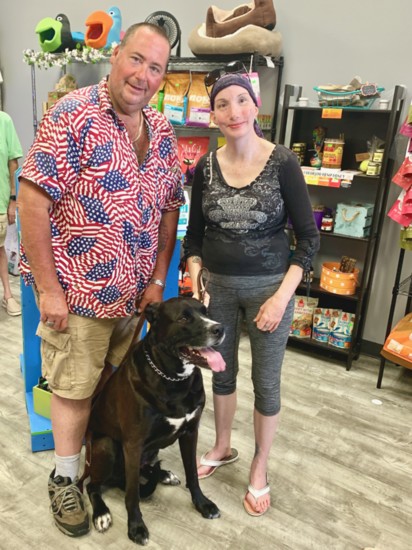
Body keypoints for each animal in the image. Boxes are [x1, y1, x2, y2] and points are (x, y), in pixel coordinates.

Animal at [84, 300, 225, 544]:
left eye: (205, 311)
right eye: (184, 318)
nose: (220, 328)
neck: (174, 379)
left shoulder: (190, 432)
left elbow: (192, 474)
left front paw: (202, 504)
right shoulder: (133, 444)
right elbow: (132, 493)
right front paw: (136, 527)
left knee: (145, 469)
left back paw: (163, 474)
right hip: (106, 446)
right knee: (92, 485)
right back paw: (101, 513)